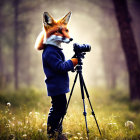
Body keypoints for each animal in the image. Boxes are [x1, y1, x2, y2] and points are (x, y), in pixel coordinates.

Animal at [34, 11, 77, 139]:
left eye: (66, 30)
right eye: (59, 31)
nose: (71, 39)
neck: (53, 47)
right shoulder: (52, 56)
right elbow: (61, 66)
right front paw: (76, 59)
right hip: (59, 99)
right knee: (56, 113)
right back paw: (53, 135)